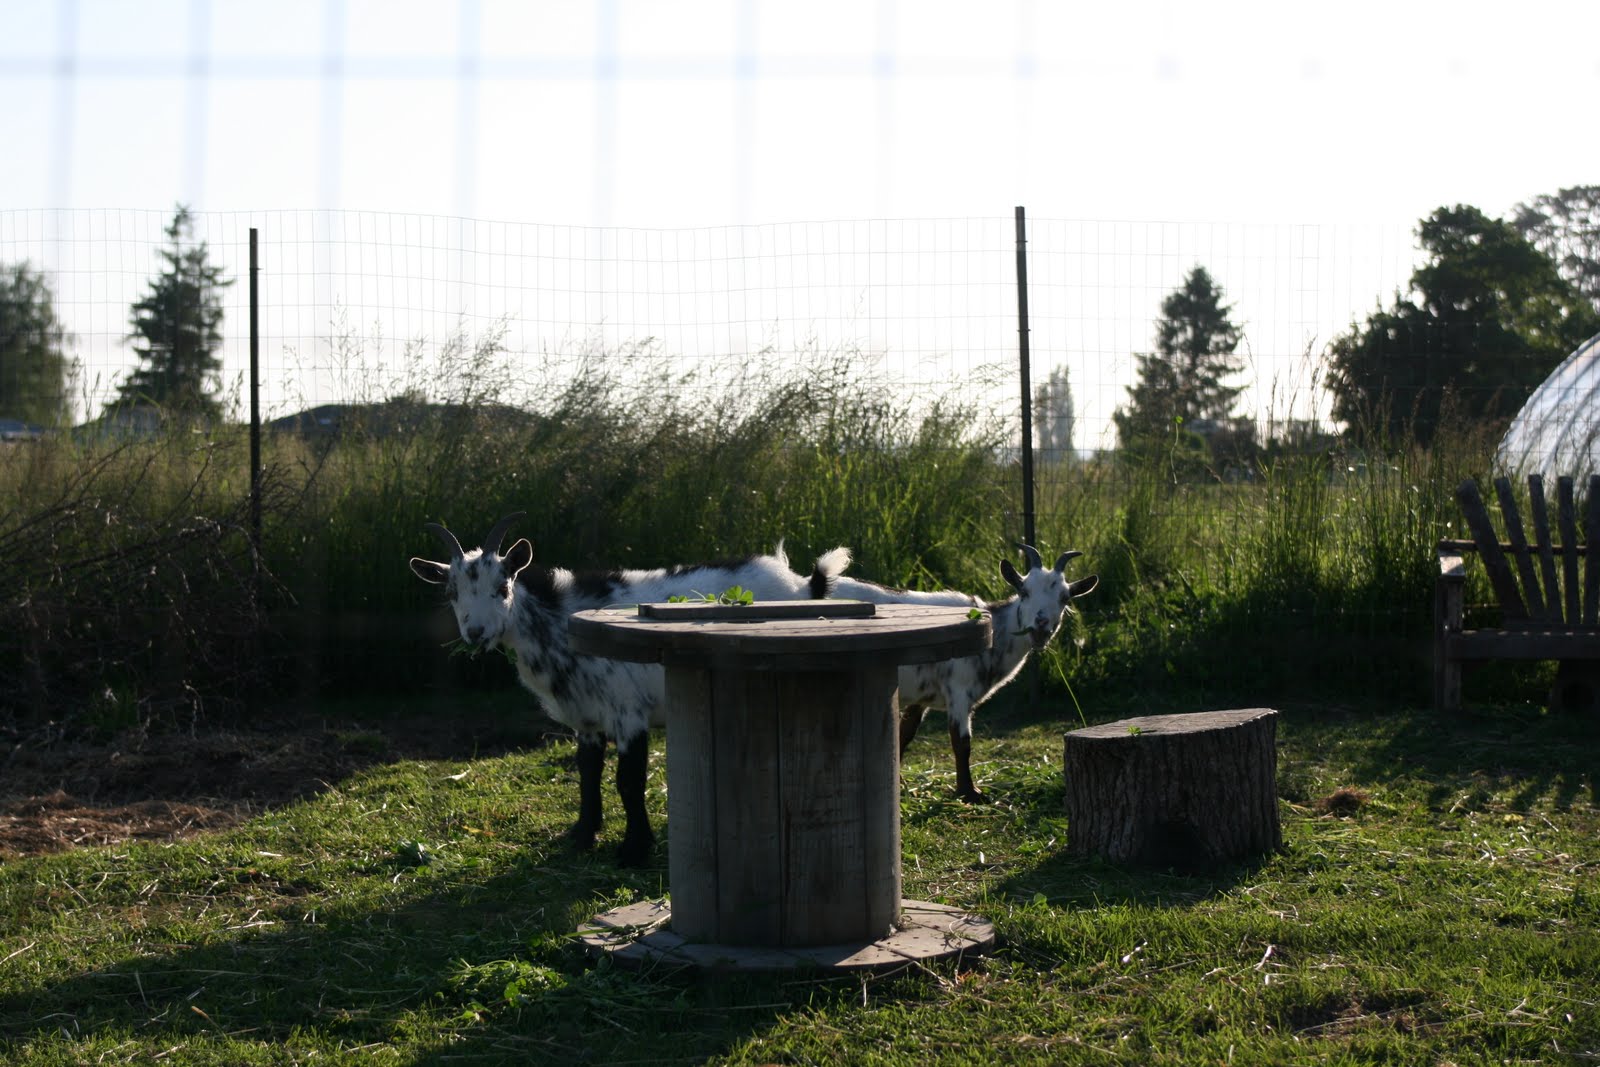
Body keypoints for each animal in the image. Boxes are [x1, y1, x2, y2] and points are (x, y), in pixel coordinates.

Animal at [409, 512, 846, 866]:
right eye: (452, 593)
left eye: (502, 587)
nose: (475, 633)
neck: (559, 622)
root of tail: (804, 586)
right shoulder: (585, 718)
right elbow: (588, 772)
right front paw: (582, 834)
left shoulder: (628, 711)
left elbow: (628, 781)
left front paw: (634, 850)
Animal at [826, 544, 1097, 802]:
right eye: (1024, 591)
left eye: (1065, 598)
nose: (1040, 626)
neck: (994, 632)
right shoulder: (959, 690)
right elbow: (961, 742)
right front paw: (969, 793)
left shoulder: (922, 696)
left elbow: (905, 733)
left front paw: (900, 785)